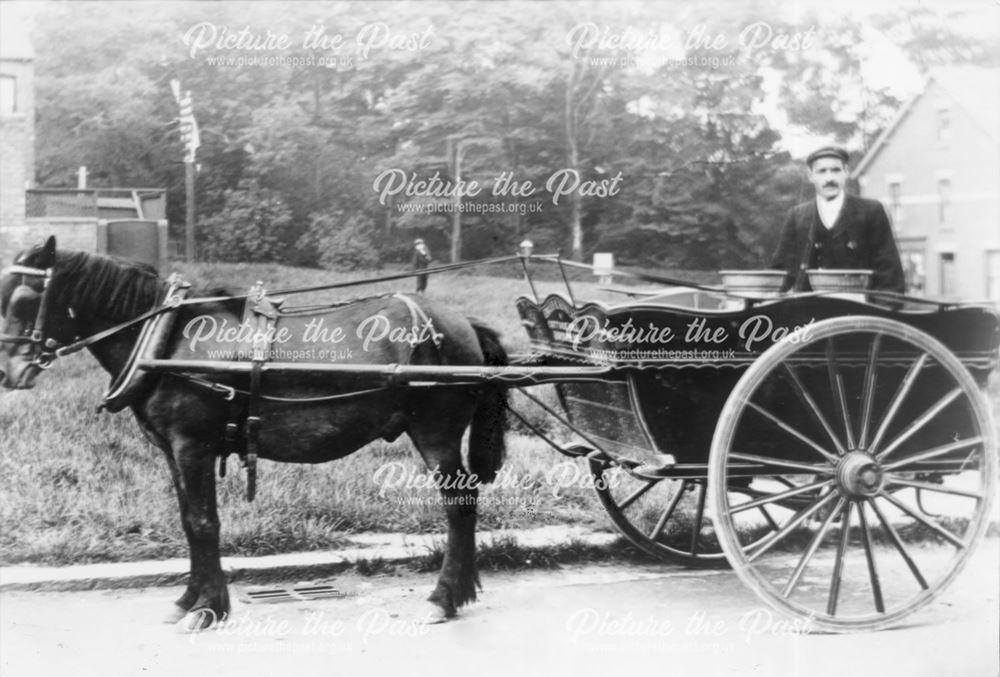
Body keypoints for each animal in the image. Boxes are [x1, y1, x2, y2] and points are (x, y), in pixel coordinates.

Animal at [1, 238, 508, 628]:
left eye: (24, 299)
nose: (9, 372)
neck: (167, 338)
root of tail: (462, 323)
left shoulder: (192, 446)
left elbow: (204, 522)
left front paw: (208, 609)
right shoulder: (172, 451)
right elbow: (188, 521)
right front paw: (189, 599)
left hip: (437, 433)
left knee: (459, 508)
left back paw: (444, 598)